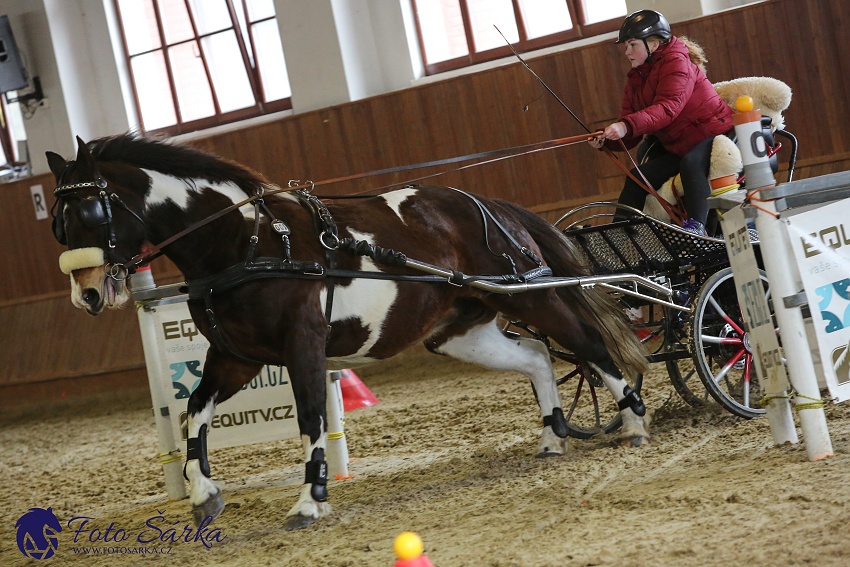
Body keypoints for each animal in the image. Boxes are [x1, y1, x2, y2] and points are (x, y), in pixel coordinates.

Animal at [49, 135, 644, 532]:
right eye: (57, 223)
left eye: (91, 210)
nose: (88, 296)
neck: (249, 241)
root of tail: (486, 205)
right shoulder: (235, 356)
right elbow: (194, 413)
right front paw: (203, 493)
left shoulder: (302, 345)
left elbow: (312, 416)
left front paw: (310, 499)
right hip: (460, 331)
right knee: (540, 355)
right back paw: (552, 437)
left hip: (530, 295)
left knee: (588, 346)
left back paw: (635, 421)